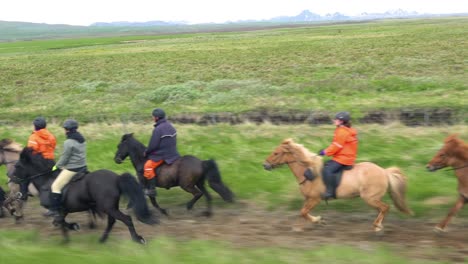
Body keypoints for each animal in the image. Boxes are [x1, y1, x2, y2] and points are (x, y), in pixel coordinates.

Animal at [12, 146, 158, 243]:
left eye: (18, 166)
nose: (11, 178)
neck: (46, 180)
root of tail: (116, 178)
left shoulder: (57, 209)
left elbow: (59, 221)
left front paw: (71, 231)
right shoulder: (63, 210)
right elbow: (60, 222)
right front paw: (67, 237)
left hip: (108, 207)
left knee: (126, 219)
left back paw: (137, 239)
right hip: (110, 207)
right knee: (111, 221)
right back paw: (102, 239)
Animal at [264, 138, 414, 233]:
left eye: (276, 153)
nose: (264, 165)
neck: (308, 172)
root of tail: (384, 171)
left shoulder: (315, 199)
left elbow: (304, 212)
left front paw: (318, 220)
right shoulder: (308, 199)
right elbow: (302, 213)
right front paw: (300, 226)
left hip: (370, 198)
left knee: (385, 208)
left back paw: (377, 226)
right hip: (373, 198)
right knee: (382, 209)